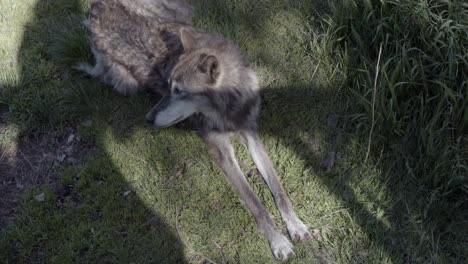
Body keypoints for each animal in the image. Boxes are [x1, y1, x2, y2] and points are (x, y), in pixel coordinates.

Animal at [78, 0, 312, 260]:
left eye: (180, 91)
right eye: (168, 85)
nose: (148, 119)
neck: (228, 109)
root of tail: (96, 6)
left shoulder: (251, 136)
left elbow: (278, 189)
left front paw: (296, 225)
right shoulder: (222, 153)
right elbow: (255, 203)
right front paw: (278, 241)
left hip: (181, 14)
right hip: (127, 83)